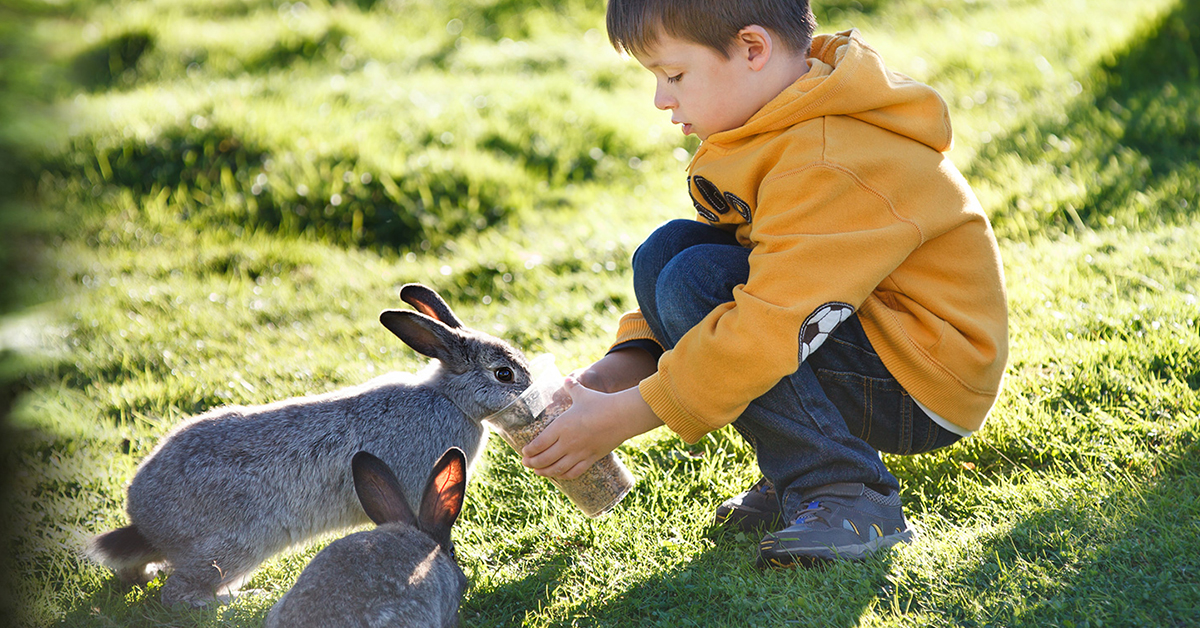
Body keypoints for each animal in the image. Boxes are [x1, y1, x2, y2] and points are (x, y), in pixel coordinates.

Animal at [87, 285, 528, 609]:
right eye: (503, 374)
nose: (529, 390)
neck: (451, 398)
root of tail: (143, 517)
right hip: (237, 545)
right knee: (179, 594)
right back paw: (242, 600)